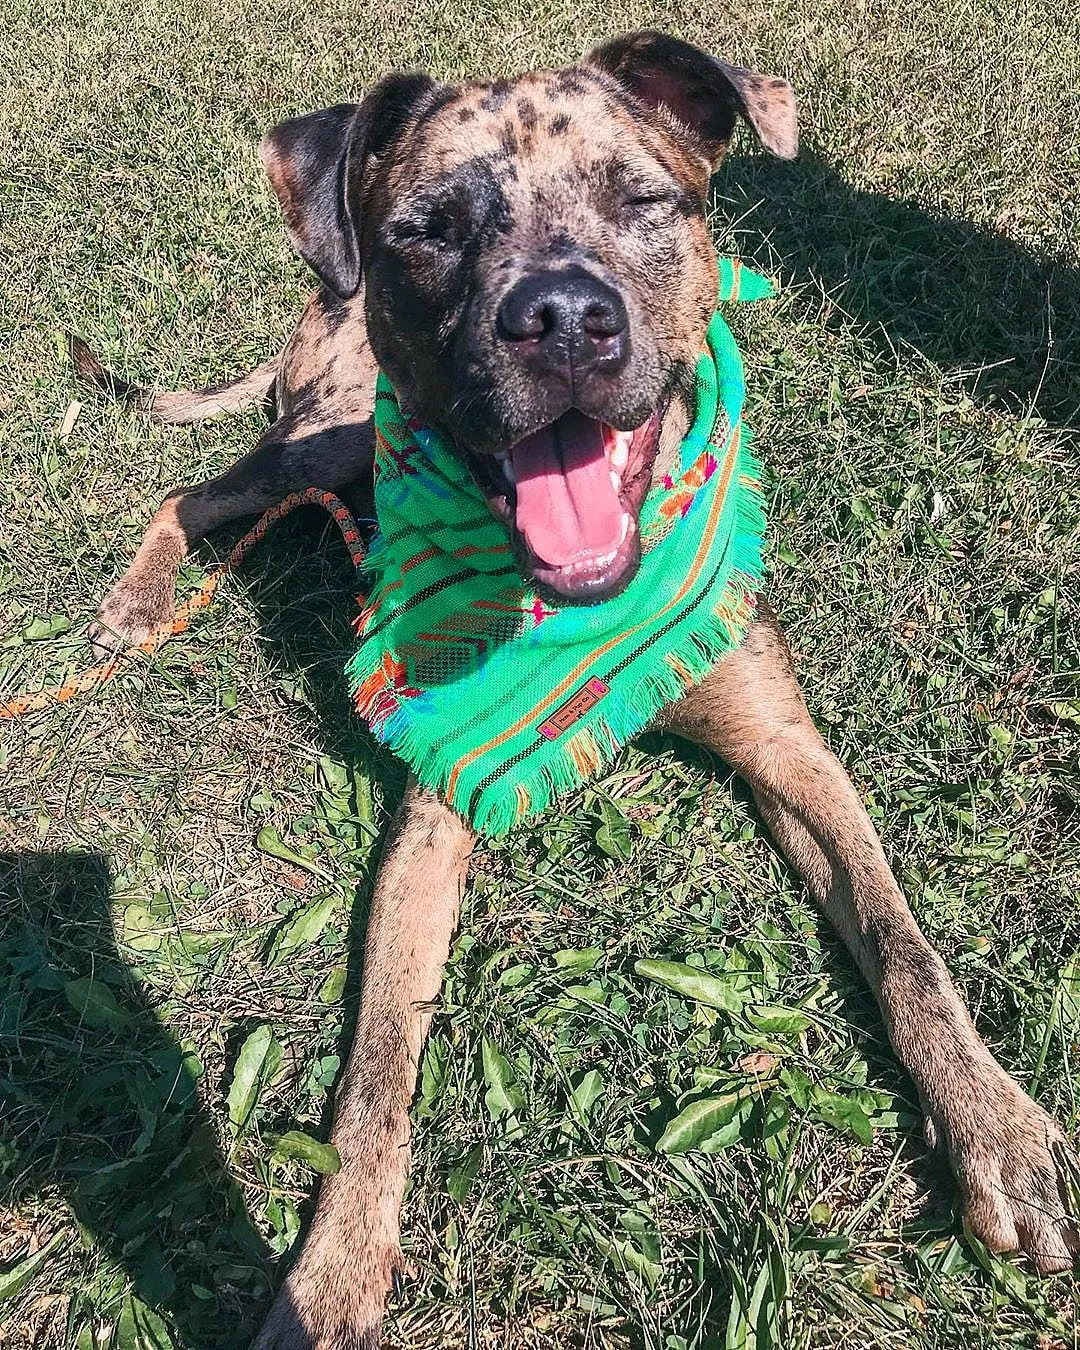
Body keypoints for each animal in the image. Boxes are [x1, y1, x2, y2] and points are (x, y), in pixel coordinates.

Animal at [77, 34, 1080, 1350]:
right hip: (333, 439)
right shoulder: (433, 810)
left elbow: (903, 944)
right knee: (197, 493)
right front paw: (332, 1270)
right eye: (428, 229)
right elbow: (379, 1066)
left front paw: (1000, 1131)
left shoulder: (788, 749)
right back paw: (139, 598)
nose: (559, 317)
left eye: (644, 200)